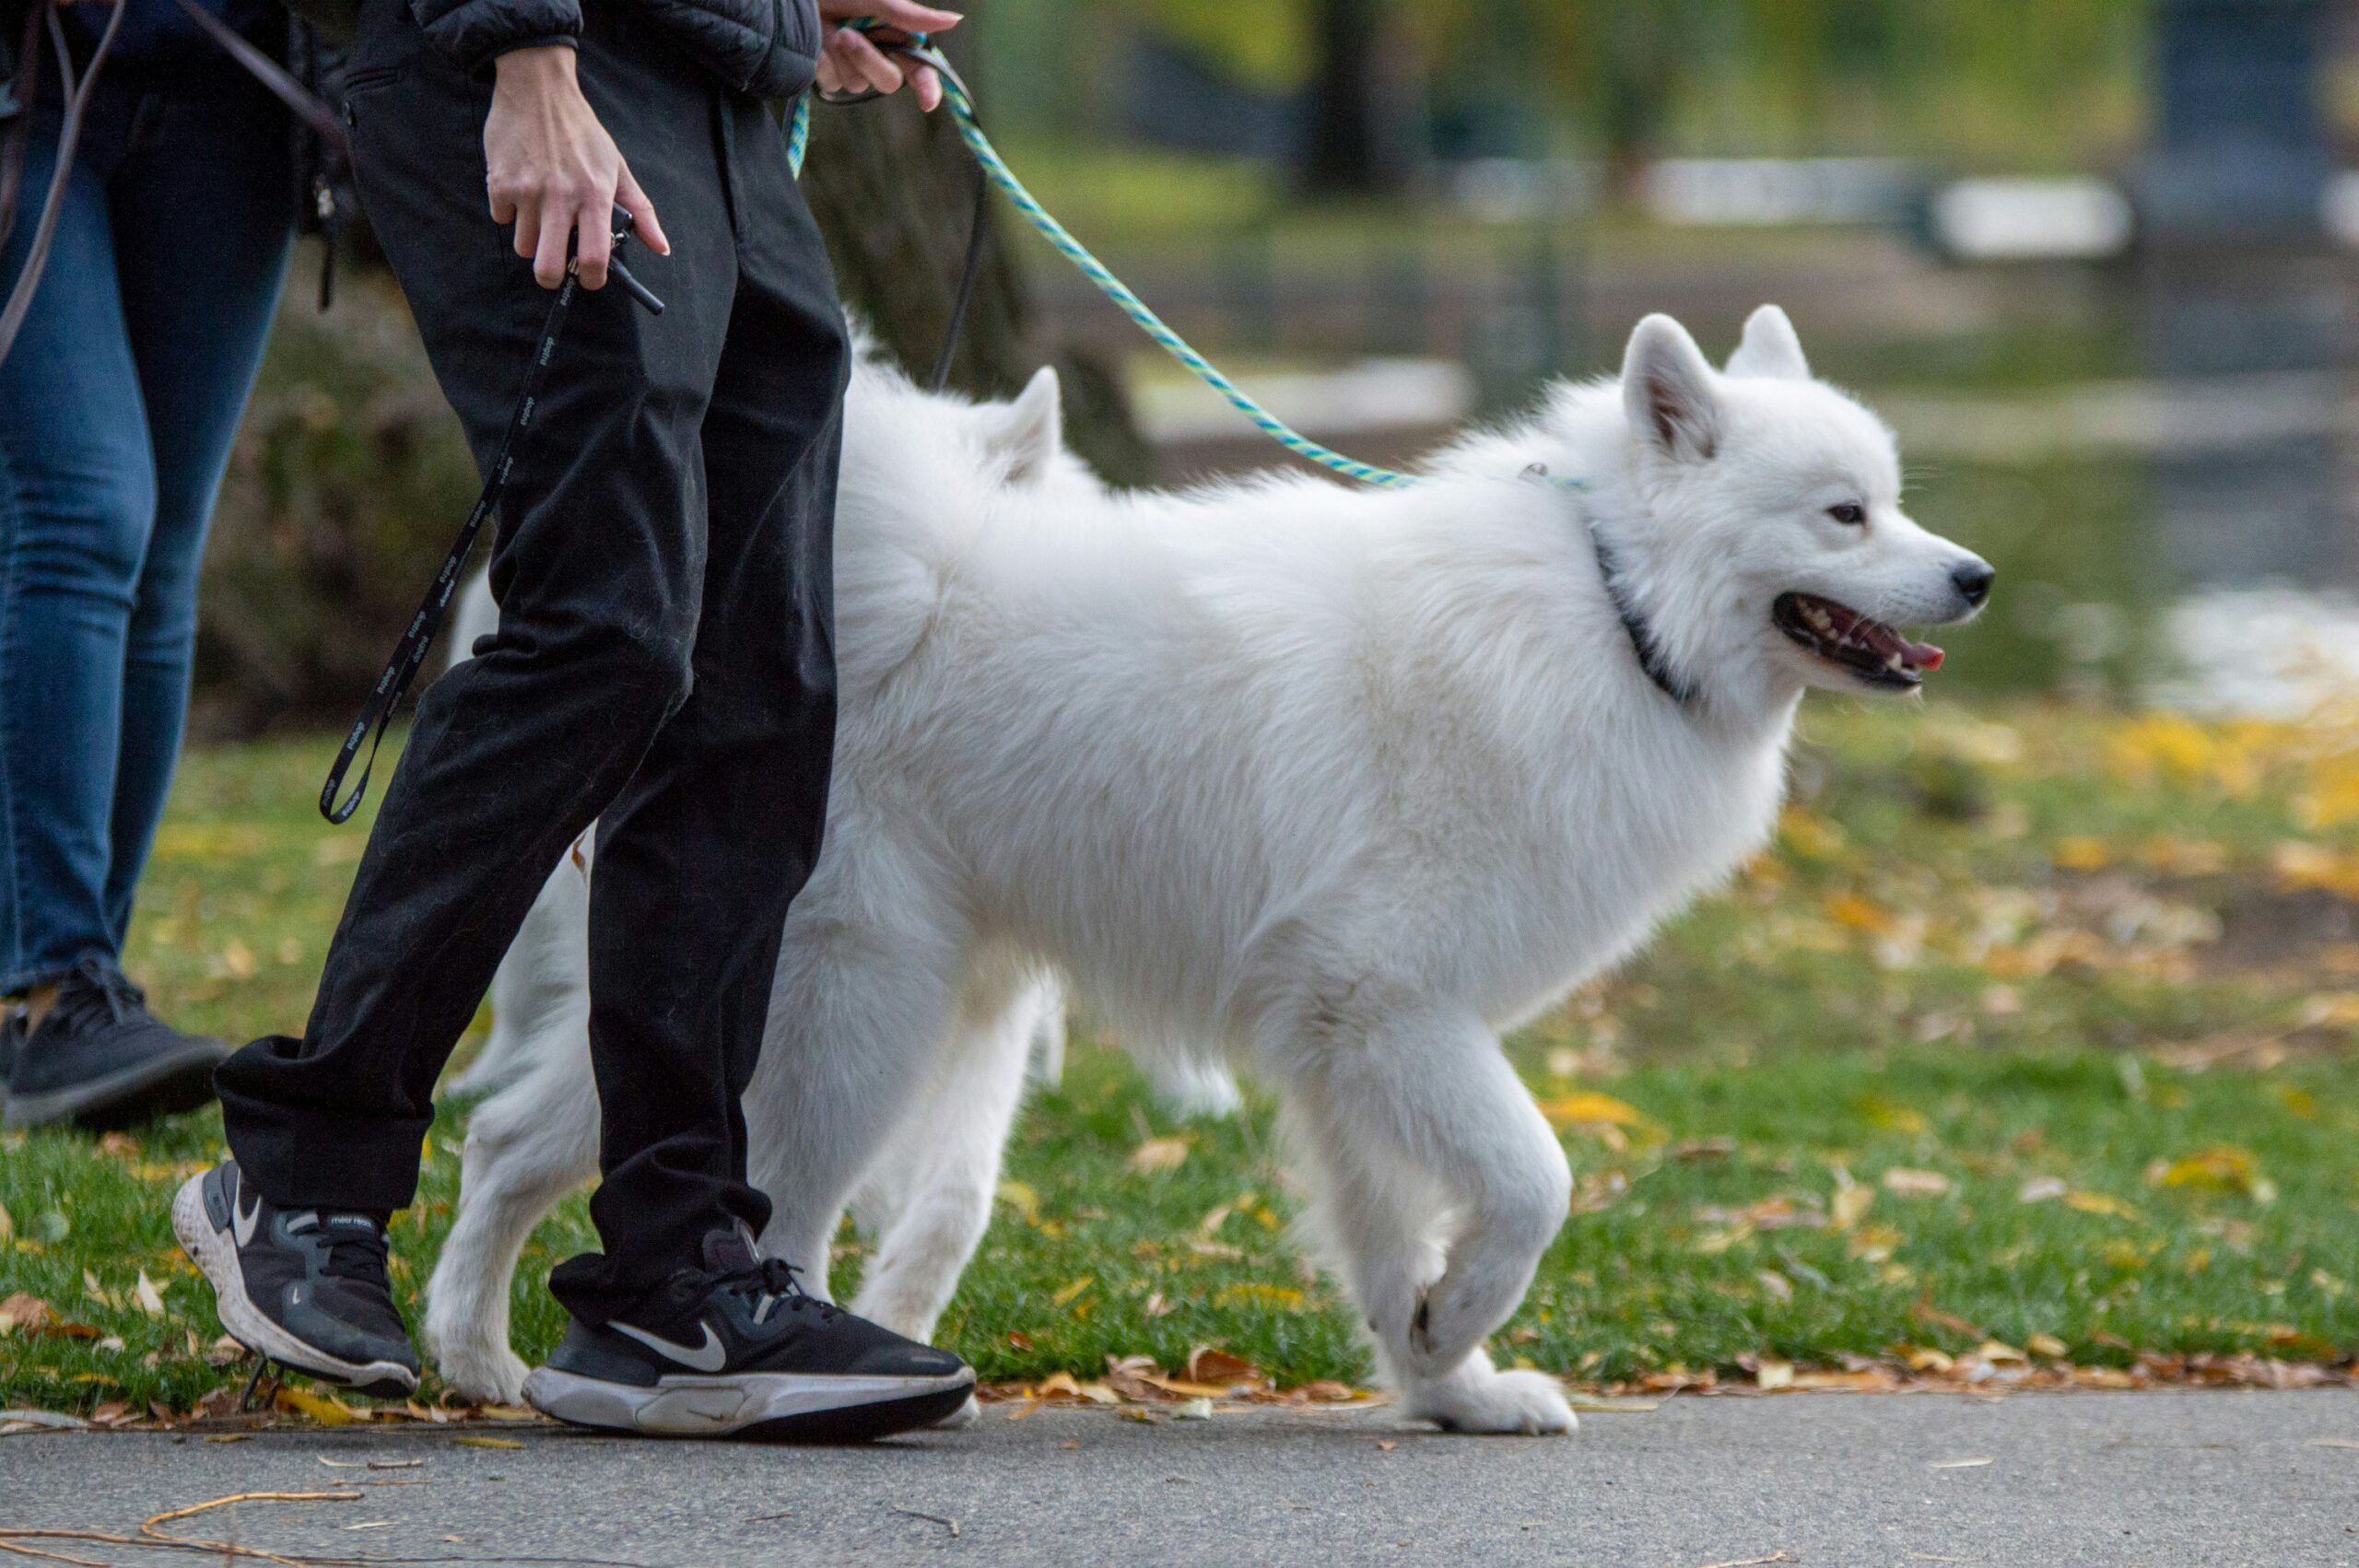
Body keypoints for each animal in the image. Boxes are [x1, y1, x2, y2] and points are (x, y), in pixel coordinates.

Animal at [424, 306, 1990, 1433]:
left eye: (1898, 500)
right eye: (1844, 514)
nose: (1975, 575)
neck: (1615, 605)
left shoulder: (1347, 1041)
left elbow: (1388, 1235)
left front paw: (1445, 1379)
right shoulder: (1390, 1003)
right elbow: (1532, 1184)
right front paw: (1462, 1323)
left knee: (513, 1135)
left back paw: (477, 1357)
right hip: (859, 1008)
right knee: (763, 1205)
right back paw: (796, 1378)